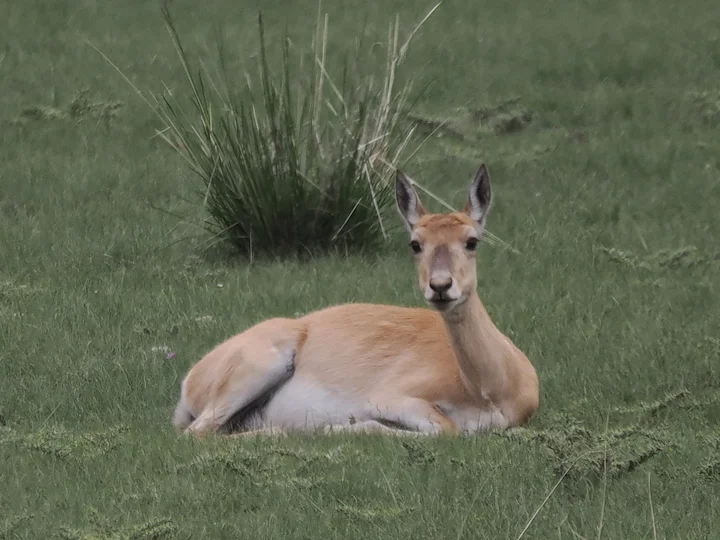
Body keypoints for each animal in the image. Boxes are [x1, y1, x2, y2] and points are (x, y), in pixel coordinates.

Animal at [173, 164, 539, 437]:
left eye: (471, 241)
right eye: (415, 243)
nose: (440, 286)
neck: (489, 390)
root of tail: (190, 380)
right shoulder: (390, 396)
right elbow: (443, 428)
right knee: (198, 432)